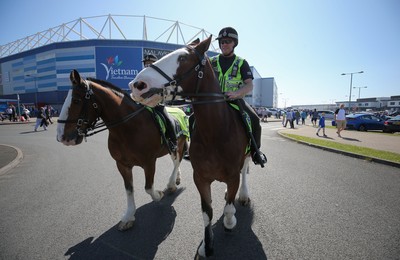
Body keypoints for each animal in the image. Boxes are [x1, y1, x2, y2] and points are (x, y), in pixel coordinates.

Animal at [55, 69, 190, 232]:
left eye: (76, 100)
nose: (62, 136)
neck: (129, 127)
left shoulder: (149, 162)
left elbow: (148, 188)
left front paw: (158, 195)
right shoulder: (122, 164)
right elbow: (129, 189)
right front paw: (129, 216)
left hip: (179, 143)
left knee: (177, 161)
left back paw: (171, 184)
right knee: (176, 161)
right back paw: (176, 179)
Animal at [130, 37, 252, 258]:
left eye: (183, 58)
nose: (137, 85)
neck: (216, 132)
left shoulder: (232, 176)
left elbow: (229, 208)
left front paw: (230, 222)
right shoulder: (201, 178)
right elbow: (207, 213)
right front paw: (207, 245)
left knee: (246, 170)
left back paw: (244, 195)